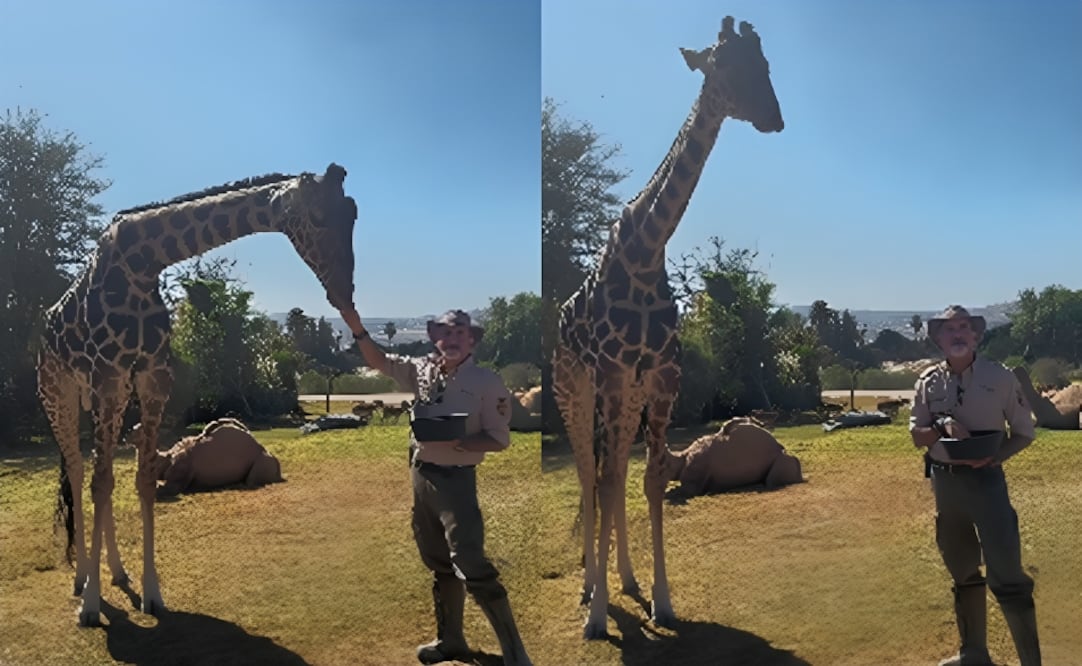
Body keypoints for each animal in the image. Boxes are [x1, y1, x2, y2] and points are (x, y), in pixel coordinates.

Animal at [37, 163, 358, 627]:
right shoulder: (108, 374)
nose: (343, 292)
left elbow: (142, 478)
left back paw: (117, 572)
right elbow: (100, 482)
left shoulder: (152, 377)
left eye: (353, 214)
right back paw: (81, 581)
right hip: (57, 391)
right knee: (80, 471)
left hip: (104, 397)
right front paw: (92, 605)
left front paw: (152, 594)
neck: (142, 262)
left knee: (99, 470)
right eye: (316, 217)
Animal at [552, 17, 784, 638]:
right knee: (588, 471)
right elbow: (606, 479)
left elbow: (650, 480)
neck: (647, 247)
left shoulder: (661, 377)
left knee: (612, 474)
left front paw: (660, 599)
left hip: (626, 396)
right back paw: (589, 587)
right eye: (723, 64)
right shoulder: (610, 374)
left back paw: (624, 580)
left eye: (765, 63)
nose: (774, 118)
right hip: (574, 390)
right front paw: (598, 614)